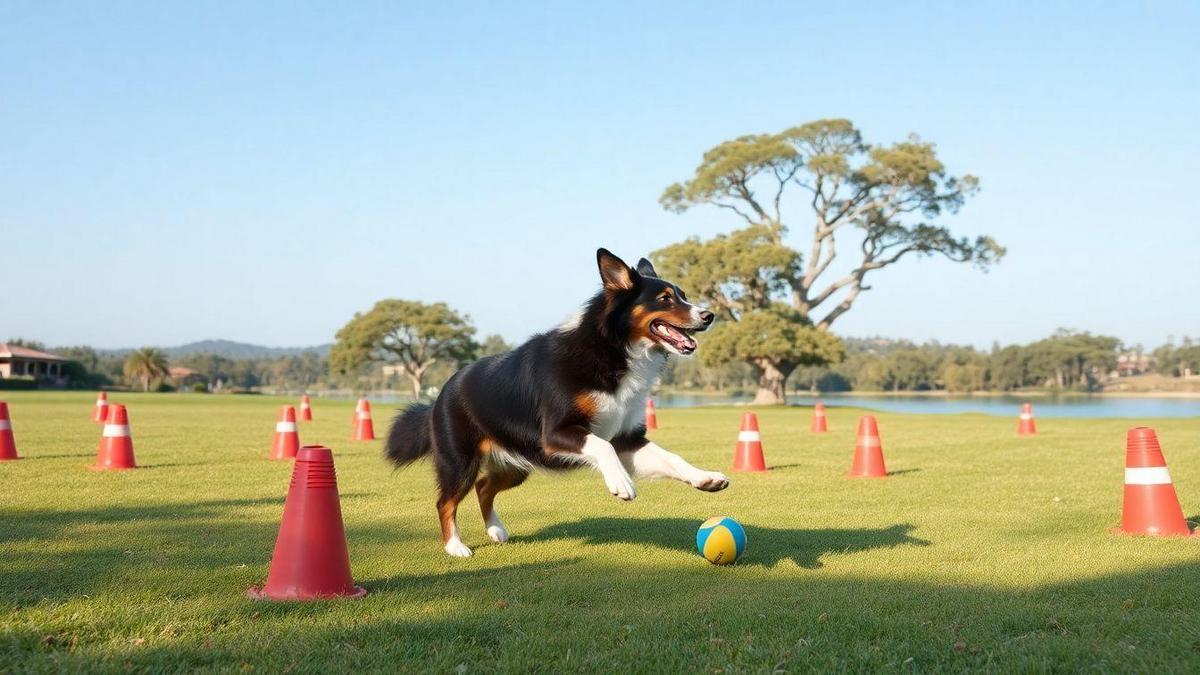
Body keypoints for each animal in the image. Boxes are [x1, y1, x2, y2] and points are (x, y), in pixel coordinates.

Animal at [388, 247, 724, 552]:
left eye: (683, 295)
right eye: (665, 299)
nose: (709, 315)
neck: (613, 349)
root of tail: (440, 394)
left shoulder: (626, 438)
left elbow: (671, 457)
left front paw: (705, 478)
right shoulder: (556, 433)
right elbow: (601, 447)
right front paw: (621, 482)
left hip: (517, 462)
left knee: (483, 487)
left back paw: (496, 530)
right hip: (460, 462)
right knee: (445, 501)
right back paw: (455, 546)